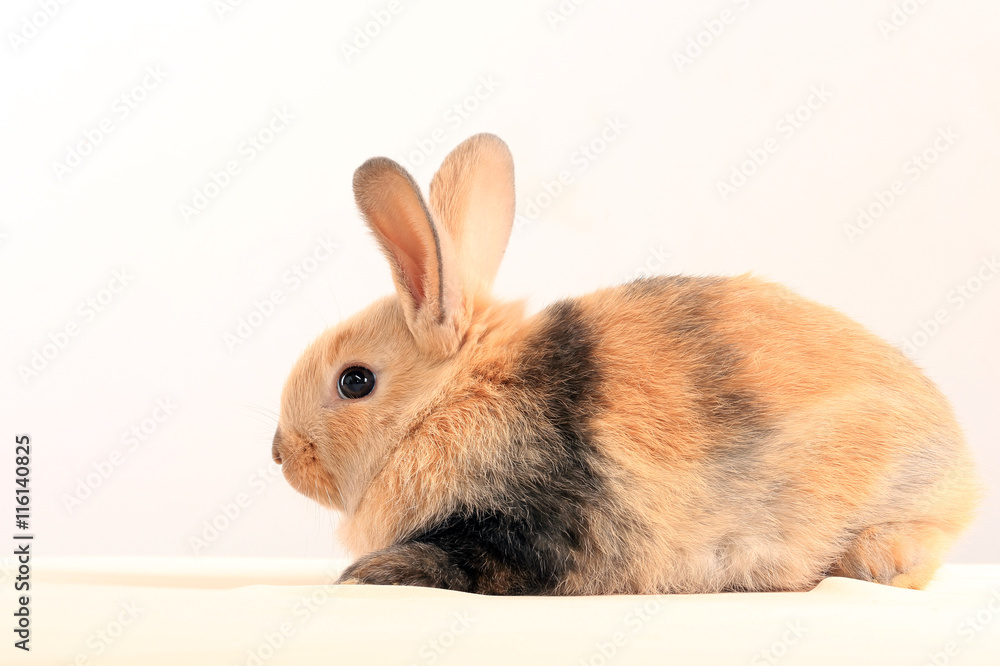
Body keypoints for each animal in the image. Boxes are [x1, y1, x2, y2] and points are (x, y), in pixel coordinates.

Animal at [271, 133, 980, 595]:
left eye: (355, 381)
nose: (280, 453)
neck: (455, 402)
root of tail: (964, 478)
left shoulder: (525, 529)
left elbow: (464, 564)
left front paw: (370, 574)